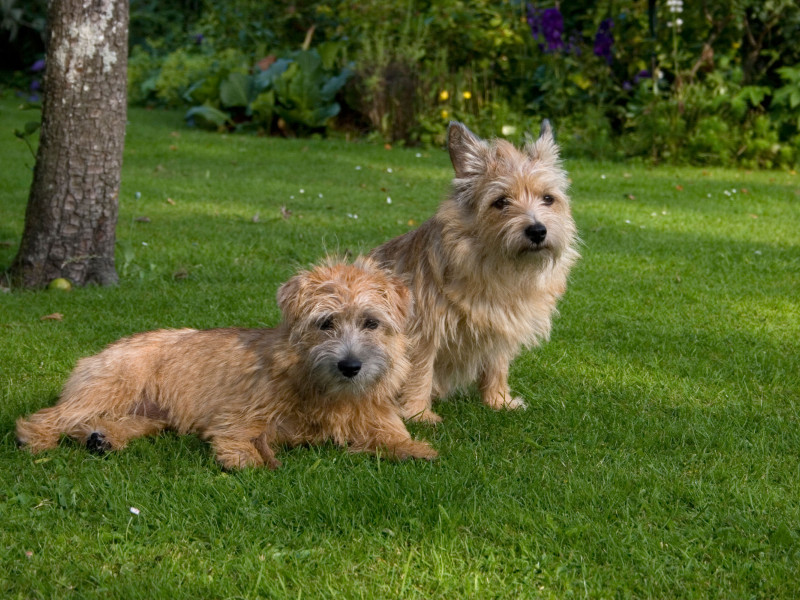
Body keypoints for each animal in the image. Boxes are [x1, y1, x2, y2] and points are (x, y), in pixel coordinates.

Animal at [14, 255, 438, 466]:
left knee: (97, 423)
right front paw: (242, 456)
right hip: (112, 387)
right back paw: (34, 439)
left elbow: (397, 438)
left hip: (148, 414)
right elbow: (240, 435)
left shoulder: (376, 416)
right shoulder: (239, 412)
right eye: (326, 323)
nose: (350, 366)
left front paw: (412, 449)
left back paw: (102, 438)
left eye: (371, 322)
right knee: (51, 416)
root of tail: (100, 351)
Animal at [372, 120, 580, 422]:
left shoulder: (502, 323)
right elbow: (419, 370)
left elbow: (497, 364)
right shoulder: (422, 328)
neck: (499, 266)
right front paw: (418, 414)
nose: (538, 231)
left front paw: (498, 401)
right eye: (501, 202)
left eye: (548, 199)